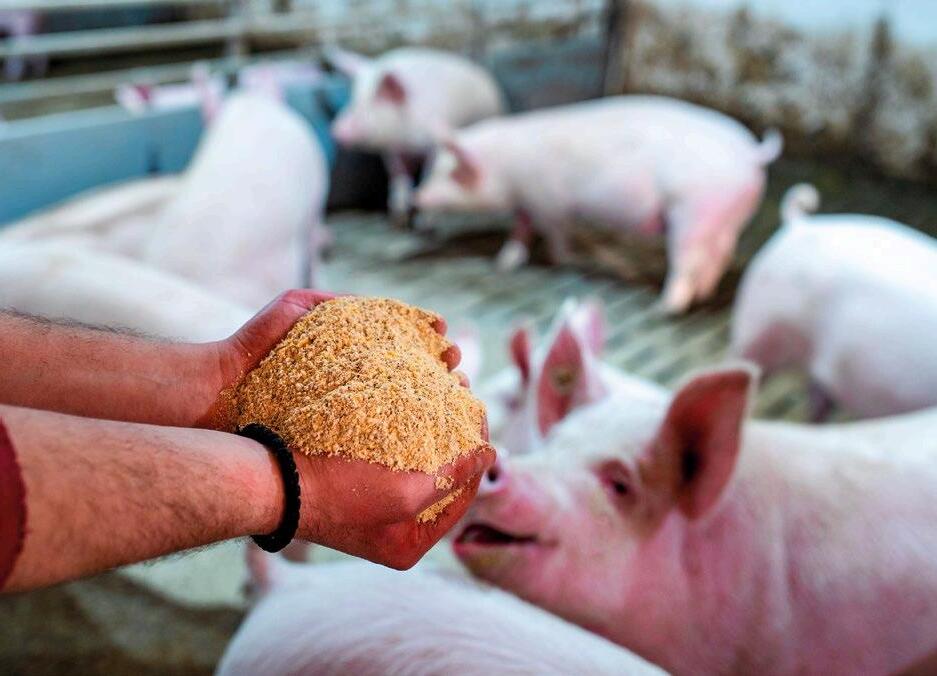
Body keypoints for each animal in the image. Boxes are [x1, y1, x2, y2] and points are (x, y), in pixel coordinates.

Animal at [328, 46, 506, 227]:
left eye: (378, 100)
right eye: (354, 98)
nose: (337, 129)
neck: (409, 143)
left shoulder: (434, 146)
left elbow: (427, 176)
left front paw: (424, 224)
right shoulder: (393, 151)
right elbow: (398, 175)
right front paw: (399, 220)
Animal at [414, 96, 782, 313]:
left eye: (454, 174)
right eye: (434, 168)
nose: (418, 199)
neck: (507, 167)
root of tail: (751, 153)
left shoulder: (550, 202)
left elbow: (555, 233)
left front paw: (561, 258)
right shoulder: (529, 202)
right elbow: (520, 229)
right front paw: (505, 263)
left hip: (692, 210)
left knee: (688, 259)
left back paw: (666, 306)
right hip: (729, 216)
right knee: (720, 253)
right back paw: (704, 294)